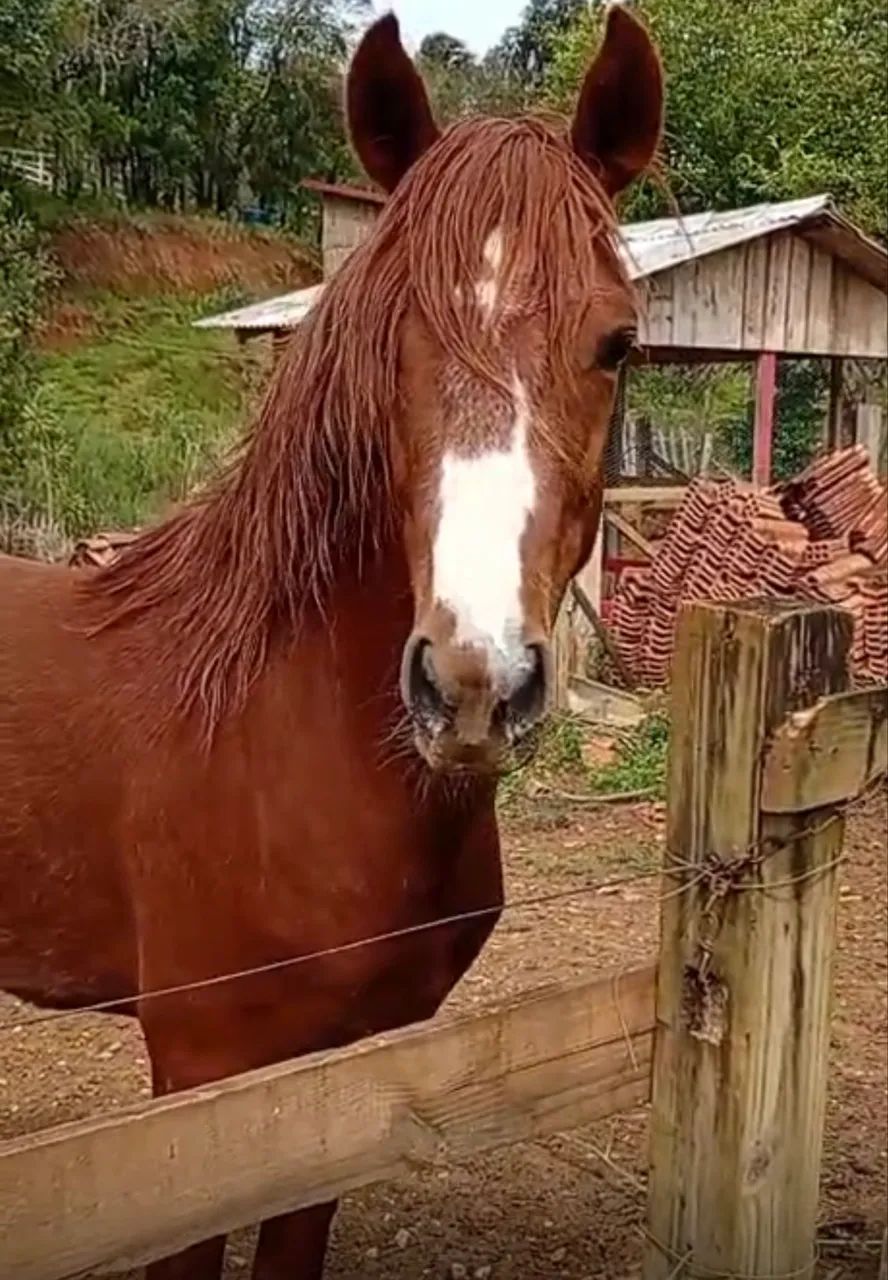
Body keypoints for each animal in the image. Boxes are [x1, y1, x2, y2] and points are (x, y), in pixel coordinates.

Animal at [0, 8, 662, 1278]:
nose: (472, 683)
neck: (272, 736)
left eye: (617, 344)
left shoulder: (343, 1079)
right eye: (396, 336)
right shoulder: (201, 1080)